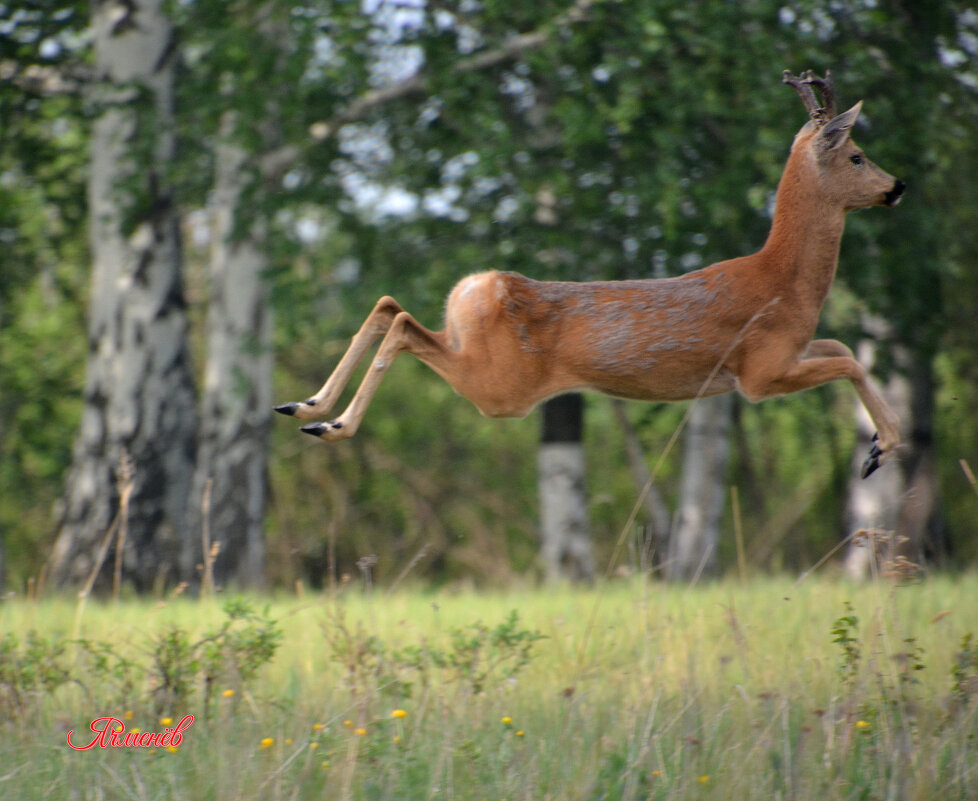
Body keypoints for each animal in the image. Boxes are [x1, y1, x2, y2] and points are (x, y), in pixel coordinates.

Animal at [274, 70, 900, 476]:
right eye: (857, 156)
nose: (897, 187)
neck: (786, 282)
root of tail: (474, 287)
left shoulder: (790, 351)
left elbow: (843, 345)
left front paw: (876, 444)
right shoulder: (760, 372)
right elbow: (850, 360)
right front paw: (882, 448)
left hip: (475, 358)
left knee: (389, 306)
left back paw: (305, 408)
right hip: (499, 387)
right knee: (402, 323)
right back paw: (331, 425)